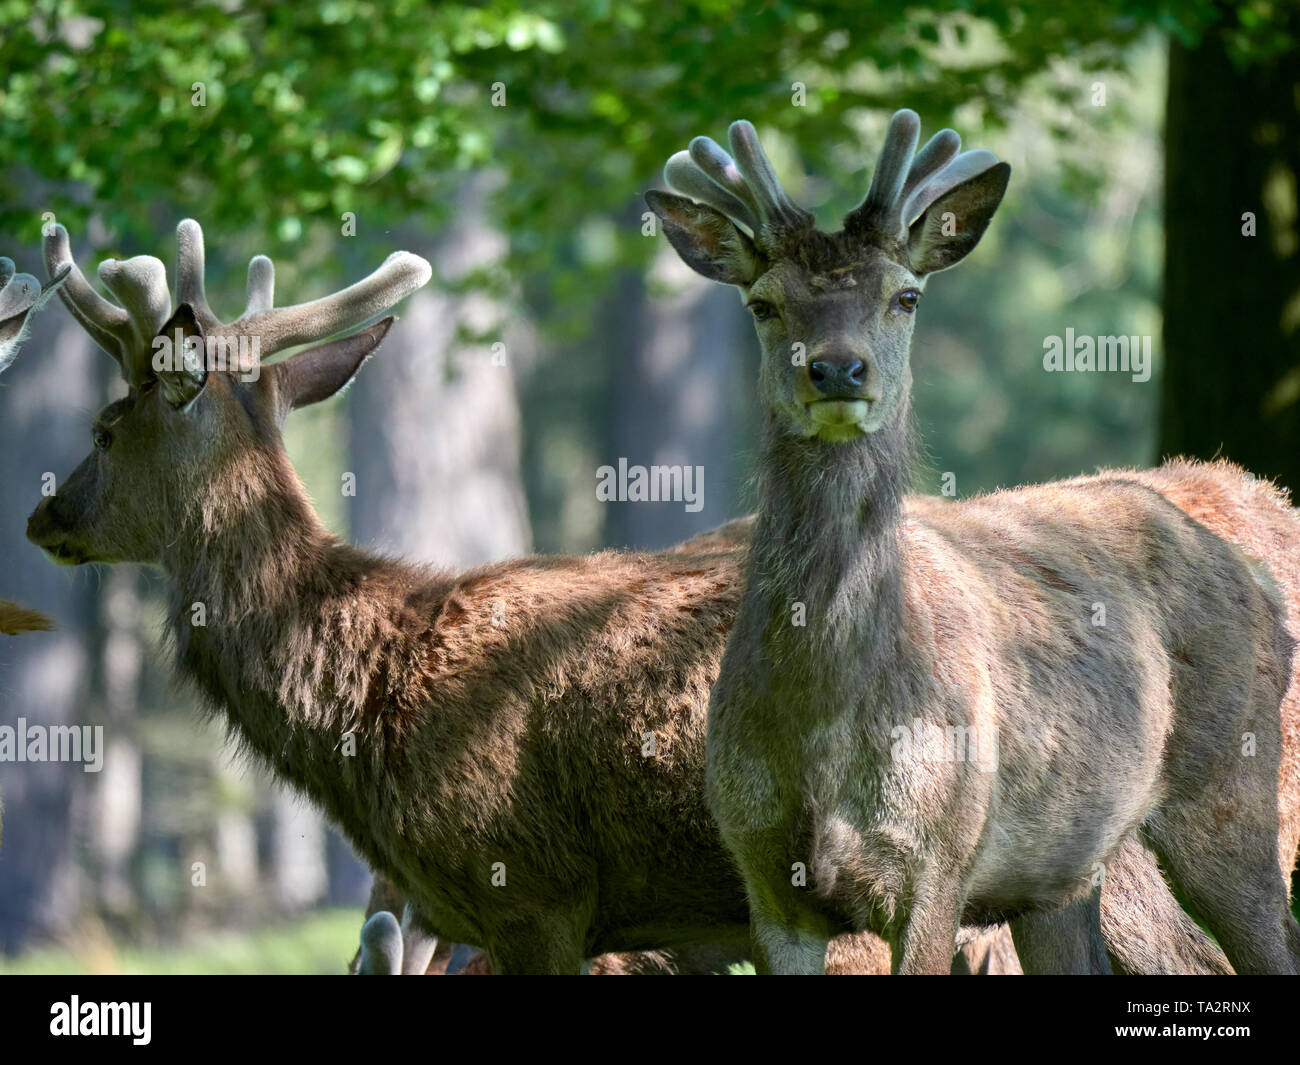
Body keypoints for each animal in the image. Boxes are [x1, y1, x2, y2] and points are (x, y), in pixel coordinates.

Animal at [650, 110, 1300, 972]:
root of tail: (1257, 570)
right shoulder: (762, 870)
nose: (837, 370)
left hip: (1235, 785)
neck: (828, 731)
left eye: (905, 295)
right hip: (1065, 867)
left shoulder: (941, 855)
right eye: (762, 303)